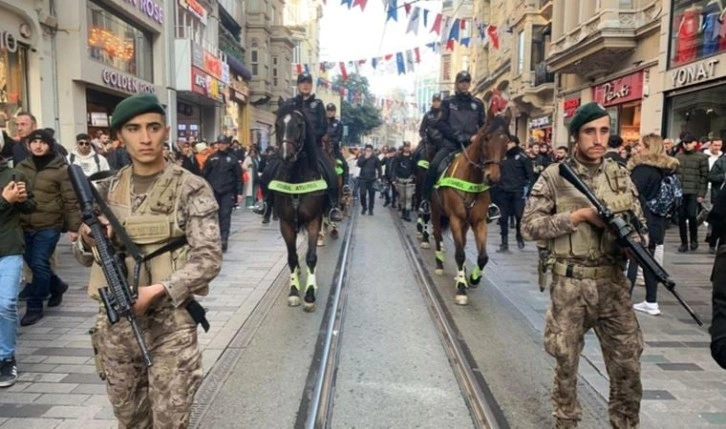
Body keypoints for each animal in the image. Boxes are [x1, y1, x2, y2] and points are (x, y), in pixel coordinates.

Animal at [274, 105, 328, 310]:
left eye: (299, 125)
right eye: (277, 124)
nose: (285, 155)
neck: (296, 178)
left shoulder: (314, 220)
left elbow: (311, 257)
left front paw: (310, 294)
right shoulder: (286, 223)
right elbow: (291, 257)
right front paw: (294, 291)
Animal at [432, 108, 512, 306]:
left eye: (506, 141)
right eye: (486, 138)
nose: (493, 177)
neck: (471, 178)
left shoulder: (479, 221)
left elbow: (483, 257)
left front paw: (473, 278)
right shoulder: (455, 218)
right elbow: (460, 254)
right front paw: (461, 289)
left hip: (466, 223)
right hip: (436, 211)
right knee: (437, 235)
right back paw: (440, 264)